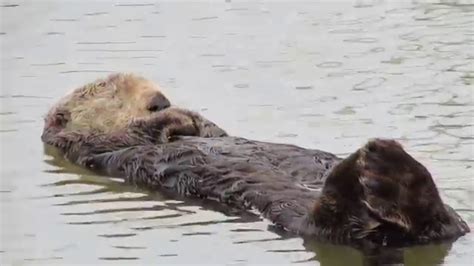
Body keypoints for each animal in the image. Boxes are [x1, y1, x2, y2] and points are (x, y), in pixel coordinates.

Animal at [42, 72, 468, 247]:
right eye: (111, 90)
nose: (159, 98)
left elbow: (214, 131)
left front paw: (189, 116)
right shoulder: (91, 146)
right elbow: (129, 134)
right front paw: (171, 117)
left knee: (448, 226)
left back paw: (389, 169)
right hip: (308, 219)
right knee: (334, 224)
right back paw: (367, 172)